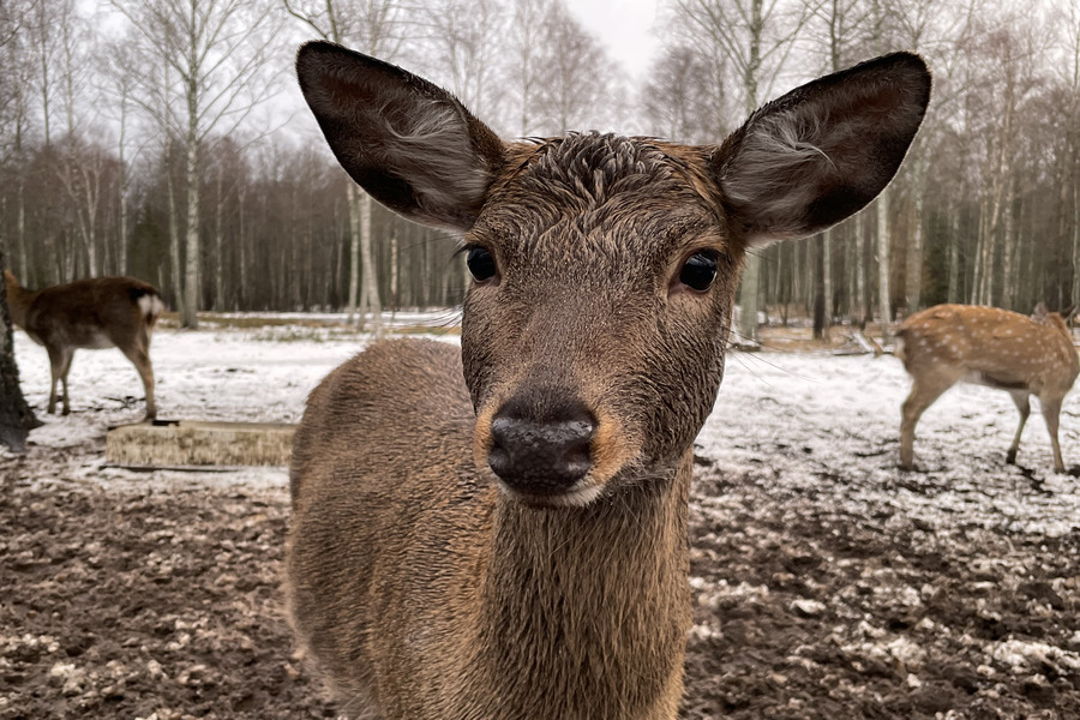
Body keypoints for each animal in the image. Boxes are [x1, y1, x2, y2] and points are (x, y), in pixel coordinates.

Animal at [3, 270, 164, 420]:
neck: (27, 311)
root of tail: (149, 295)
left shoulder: (52, 339)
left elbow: (54, 373)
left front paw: (51, 409)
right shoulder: (70, 346)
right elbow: (64, 374)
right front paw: (66, 409)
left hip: (123, 331)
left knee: (144, 365)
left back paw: (150, 413)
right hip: (145, 333)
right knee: (148, 363)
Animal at [896, 303, 1079, 473]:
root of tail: (904, 328)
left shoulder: (1018, 389)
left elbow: (1025, 412)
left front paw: (1011, 455)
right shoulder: (1054, 388)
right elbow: (1053, 428)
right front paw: (1060, 467)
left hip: (927, 372)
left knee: (906, 407)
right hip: (938, 370)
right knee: (909, 408)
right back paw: (908, 462)